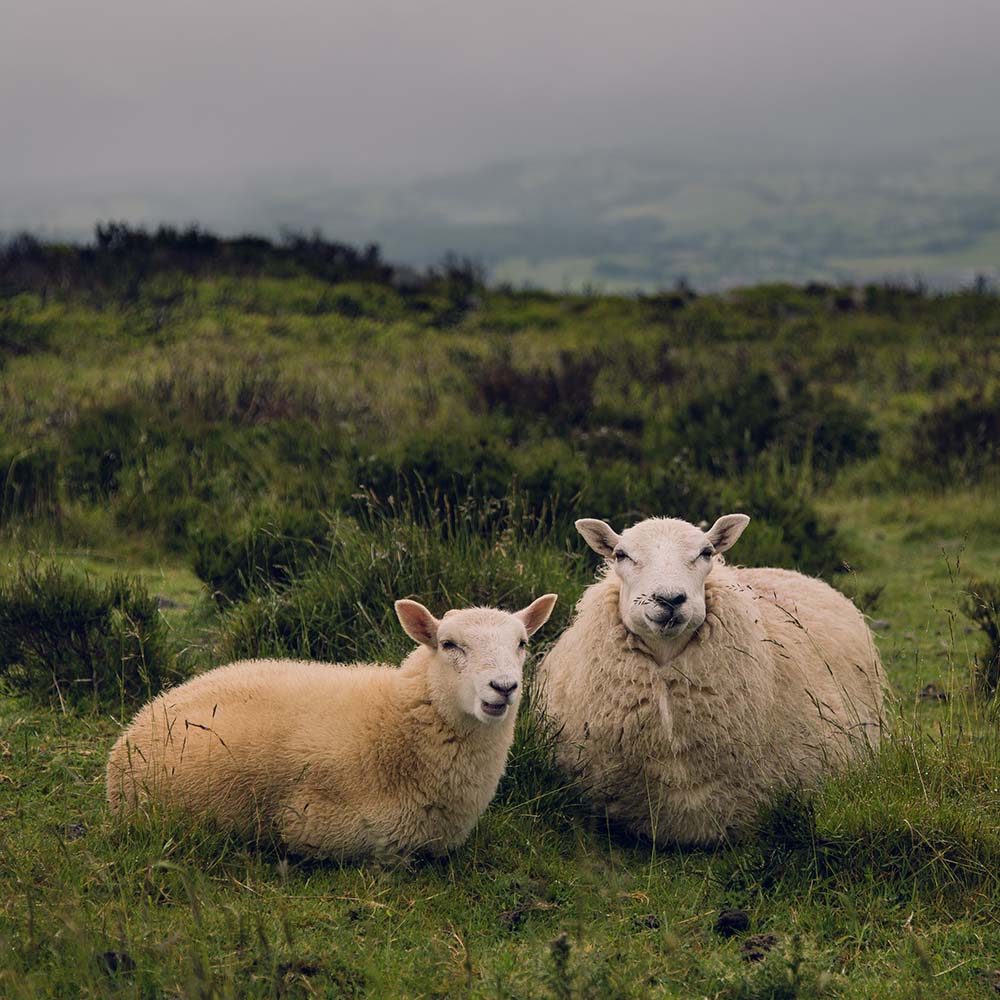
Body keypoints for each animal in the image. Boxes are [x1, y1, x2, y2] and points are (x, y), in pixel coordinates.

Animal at [110, 592, 564, 860]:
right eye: (449, 644)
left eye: (522, 643)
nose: (503, 687)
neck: (395, 724)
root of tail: (145, 715)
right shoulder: (320, 827)